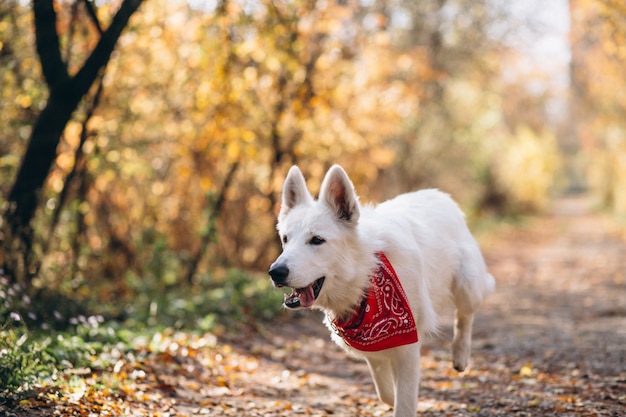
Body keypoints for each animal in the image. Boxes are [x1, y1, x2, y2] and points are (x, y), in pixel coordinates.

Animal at [268, 164, 492, 414]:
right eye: (285, 239)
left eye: (317, 240)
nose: (275, 272)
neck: (365, 277)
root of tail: (439, 195)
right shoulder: (376, 350)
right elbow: (385, 391)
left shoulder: (408, 349)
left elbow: (404, 403)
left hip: (468, 287)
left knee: (465, 316)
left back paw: (460, 355)